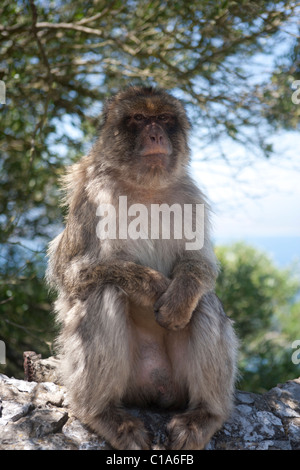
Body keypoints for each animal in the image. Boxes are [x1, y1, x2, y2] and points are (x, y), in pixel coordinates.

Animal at [47, 86, 238, 450]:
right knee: (104, 292)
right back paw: (102, 414)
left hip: (178, 381)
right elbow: (71, 274)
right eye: (138, 118)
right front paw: (151, 285)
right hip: (126, 380)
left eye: (163, 118)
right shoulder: (92, 197)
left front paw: (178, 296)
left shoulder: (191, 197)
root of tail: (155, 387)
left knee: (205, 302)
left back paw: (206, 414)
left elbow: (200, 265)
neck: (146, 187)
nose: (155, 134)